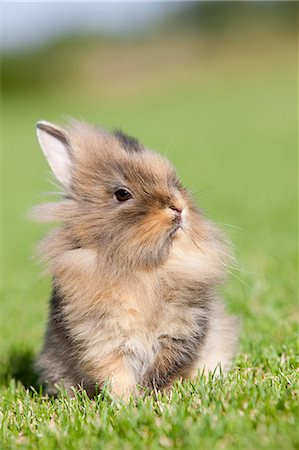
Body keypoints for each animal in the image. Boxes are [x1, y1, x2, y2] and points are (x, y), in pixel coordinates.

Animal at [32, 118, 238, 398]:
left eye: (174, 180)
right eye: (122, 194)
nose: (178, 207)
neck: (144, 268)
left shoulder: (180, 331)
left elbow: (165, 369)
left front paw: (155, 397)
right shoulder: (102, 339)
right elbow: (115, 373)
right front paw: (128, 401)